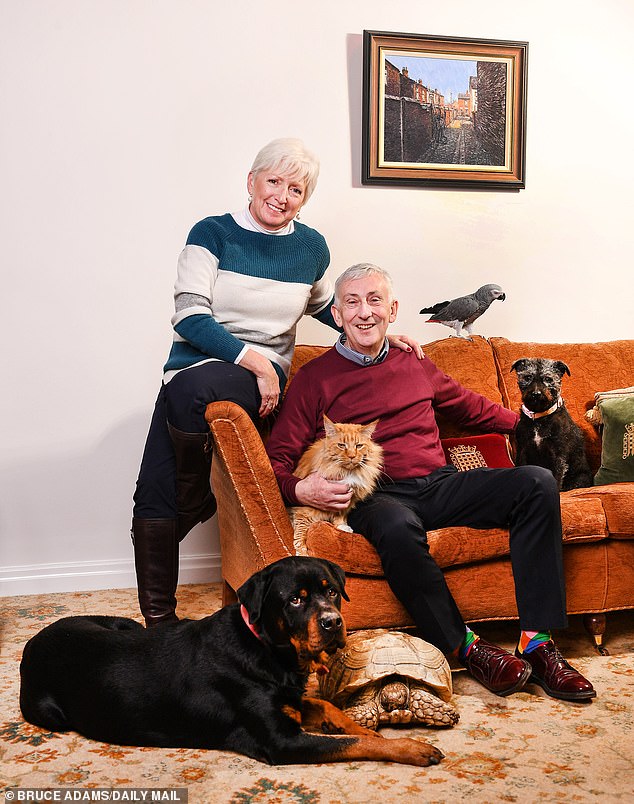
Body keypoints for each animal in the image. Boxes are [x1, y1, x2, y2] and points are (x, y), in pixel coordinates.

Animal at [21, 556, 444, 764]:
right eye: (295, 600)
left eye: (332, 592)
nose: (333, 622)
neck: (269, 651)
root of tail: (32, 643)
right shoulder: (281, 742)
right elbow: (348, 745)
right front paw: (411, 748)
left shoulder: (289, 701)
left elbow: (329, 708)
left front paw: (370, 730)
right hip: (49, 714)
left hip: (125, 624)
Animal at [290, 418, 380, 556]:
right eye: (341, 445)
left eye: (358, 446)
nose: (352, 456)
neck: (347, 473)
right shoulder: (304, 511)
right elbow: (300, 534)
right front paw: (302, 552)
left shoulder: (347, 501)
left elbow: (340, 515)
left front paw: (342, 527)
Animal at [508, 358, 592, 490]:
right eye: (527, 377)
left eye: (548, 379)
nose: (536, 394)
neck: (539, 418)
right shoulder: (522, 450)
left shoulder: (558, 455)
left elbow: (557, 476)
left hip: (579, 480)